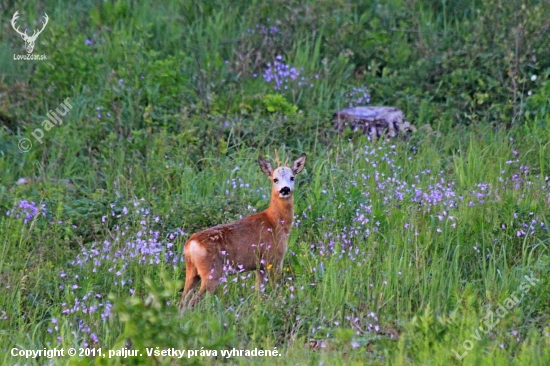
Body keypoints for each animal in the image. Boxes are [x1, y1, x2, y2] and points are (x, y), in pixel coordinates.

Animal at [182, 153, 308, 310]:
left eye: (292, 177)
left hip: (192, 272)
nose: (285, 189)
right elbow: (276, 289)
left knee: (182, 301)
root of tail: (190, 245)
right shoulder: (273, 258)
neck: (276, 222)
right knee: (193, 302)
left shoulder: (260, 266)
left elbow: (258, 292)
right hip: (211, 272)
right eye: (275, 179)